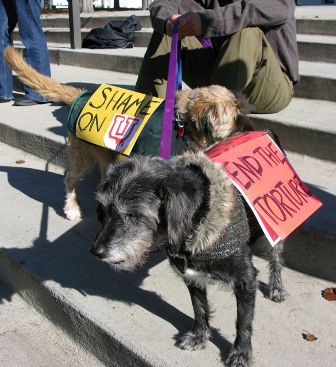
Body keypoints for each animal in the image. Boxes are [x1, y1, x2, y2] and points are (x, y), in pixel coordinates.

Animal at [90, 151, 258, 366]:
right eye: (103, 210)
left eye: (135, 214)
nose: (96, 251)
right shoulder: (192, 277)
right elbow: (199, 307)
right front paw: (199, 336)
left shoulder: (245, 280)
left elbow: (243, 321)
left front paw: (241, 353)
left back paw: (276, 288)